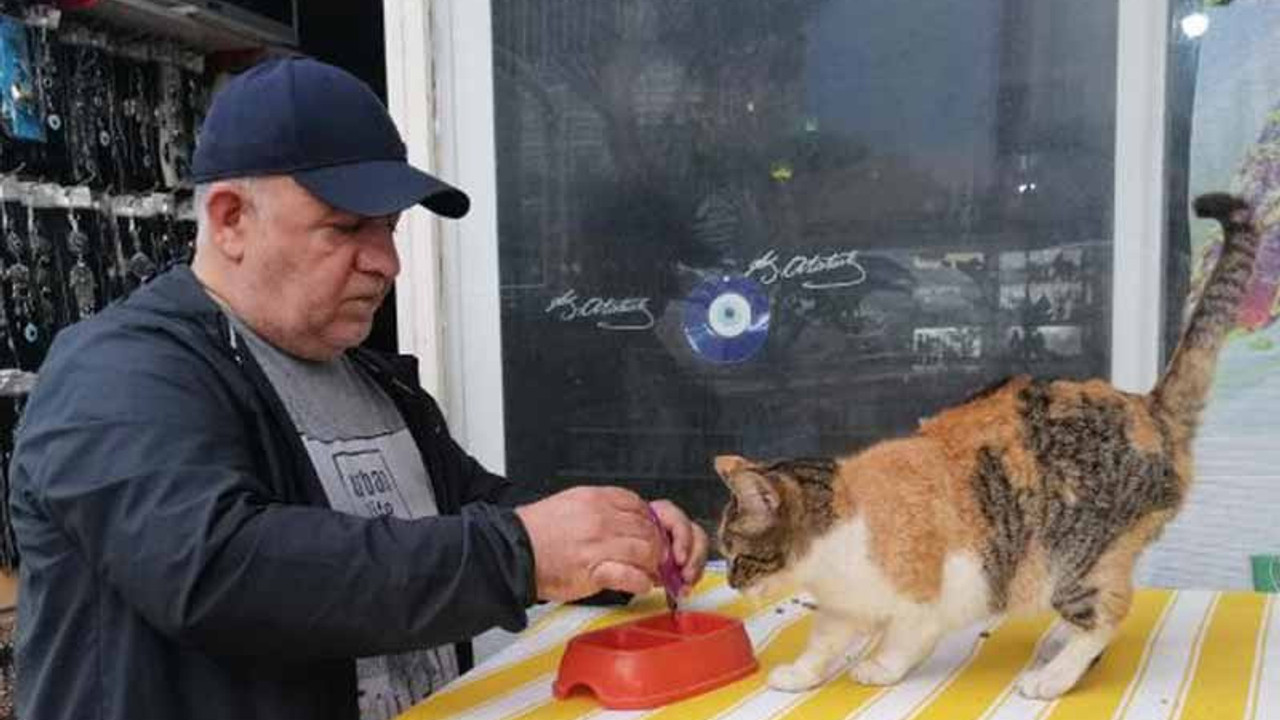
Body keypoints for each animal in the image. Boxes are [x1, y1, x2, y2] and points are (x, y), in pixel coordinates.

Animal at [716, 190, 1264, 696]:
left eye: (736, 552)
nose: (731, 582)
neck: (842, 521)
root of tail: (1148, 406)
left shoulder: (926, 600)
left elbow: (903, 639)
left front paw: (878, 668)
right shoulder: (841, 605)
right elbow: (823, 641)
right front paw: (800, 674)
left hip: (1073, 559)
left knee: (1108, 613)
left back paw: (1053, 677)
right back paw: (1058, 645)